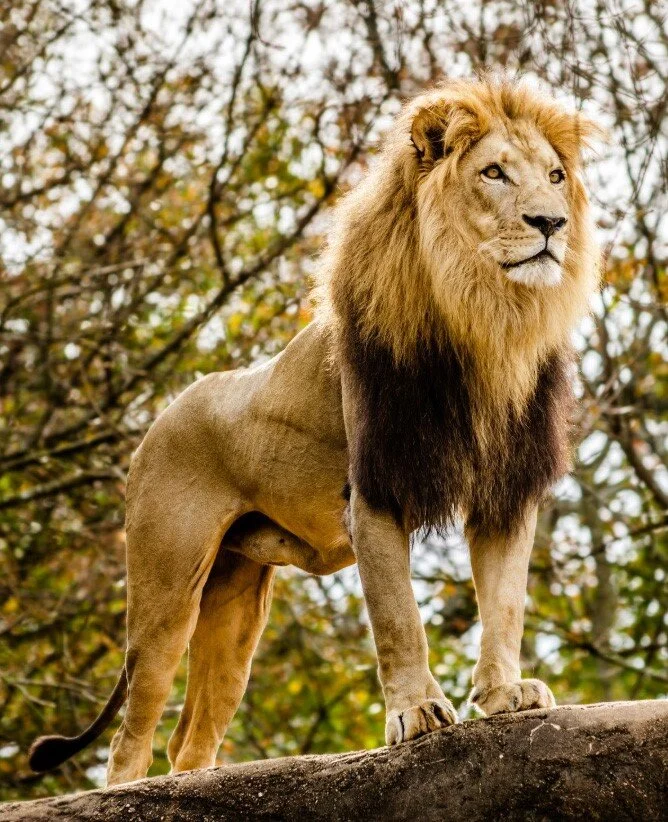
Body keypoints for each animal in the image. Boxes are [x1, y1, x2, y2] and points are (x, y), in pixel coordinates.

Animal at [29, 76, 601, 786]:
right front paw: (417, 713)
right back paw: (127, 791)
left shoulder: (505, 490)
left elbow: (505, 605)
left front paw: (504, 695)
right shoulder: (375, 488)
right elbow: (398, 616)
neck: (486, 320)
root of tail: (160, 418)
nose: (551, 223)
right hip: (166, 591)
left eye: (555, 177)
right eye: (494, 173)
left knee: (189, 737)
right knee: (130, 736)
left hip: (237, 602)